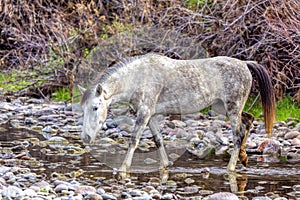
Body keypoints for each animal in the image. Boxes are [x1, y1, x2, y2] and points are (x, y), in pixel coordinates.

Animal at [80, 53, 276, 173]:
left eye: (95, 107)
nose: (86, 138)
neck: (139, 77)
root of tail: (244, 64)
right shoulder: (150, 115)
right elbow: (158, 139)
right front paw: (165, 166)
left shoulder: (144, 113)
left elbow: (134, 140)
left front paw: (123, 169)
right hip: (223, 108)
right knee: (248, 121)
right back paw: (243, 157)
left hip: (232, 109)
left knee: (237, 135)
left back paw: (231, 167)